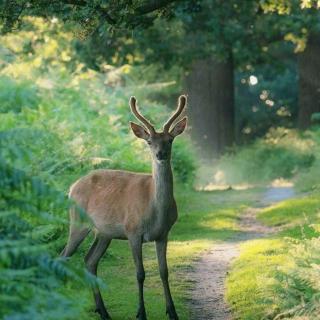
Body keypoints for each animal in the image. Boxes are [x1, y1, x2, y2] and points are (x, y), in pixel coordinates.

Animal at [60, 95, 188, 320]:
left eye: (170, 140)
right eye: (149, 141)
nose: (160, 154)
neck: (155, 210)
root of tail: (72, 187)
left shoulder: (163, 233)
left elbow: (164, 271)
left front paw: (172, 312)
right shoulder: (132, 231)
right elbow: (140, 273)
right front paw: (141, 313)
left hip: (104, 232)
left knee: (90, 260)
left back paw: (103, 311)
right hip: (78, 221)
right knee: (64, 256)